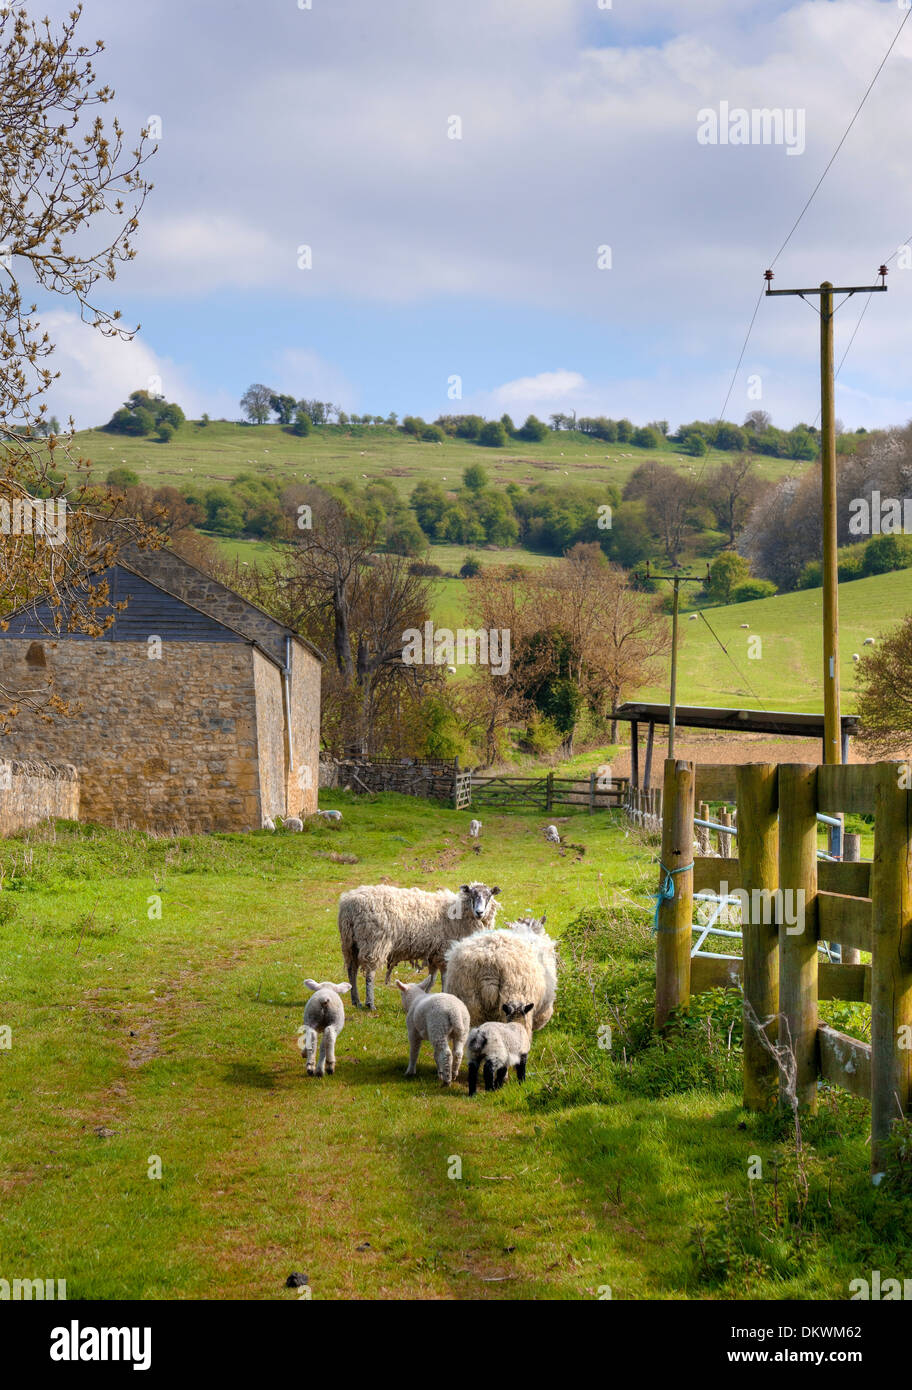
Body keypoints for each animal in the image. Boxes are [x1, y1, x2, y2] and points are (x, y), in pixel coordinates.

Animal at [337, 878, 503, 1011]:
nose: (480, 912)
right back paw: (369, 1003)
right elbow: (443, 977)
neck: (460, 913)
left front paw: (425, 996)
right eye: (472, 895)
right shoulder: (445, 951)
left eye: (489, 896)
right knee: (369, 974)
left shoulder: (434, 953)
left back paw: (356, 1001)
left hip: (350, 943)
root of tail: (349, 904)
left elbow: (432, 977)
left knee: (352, 970)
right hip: (374, 941)